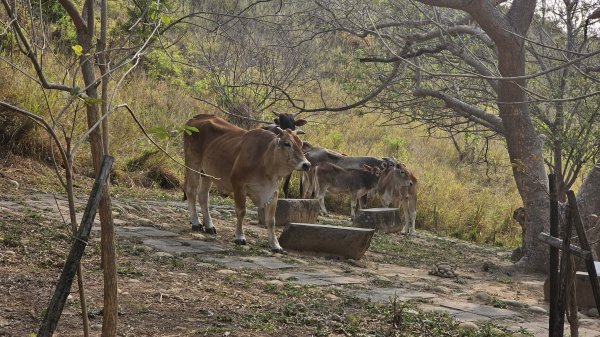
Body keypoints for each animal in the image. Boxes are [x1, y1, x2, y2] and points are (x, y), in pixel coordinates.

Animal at [183, 114, 310, 251]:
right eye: (287, 144)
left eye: (301, 144)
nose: (306, 164)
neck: (265, 161)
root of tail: (196, 117)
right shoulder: (239, 185)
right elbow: (241, 212)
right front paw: (240, 237)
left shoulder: (273, 192)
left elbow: (271, 220)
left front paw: (275, 245)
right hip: (192, 164)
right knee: (191, 191)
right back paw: (196, 223)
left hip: (206, 173)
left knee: (203, 196)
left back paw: (209, 226)